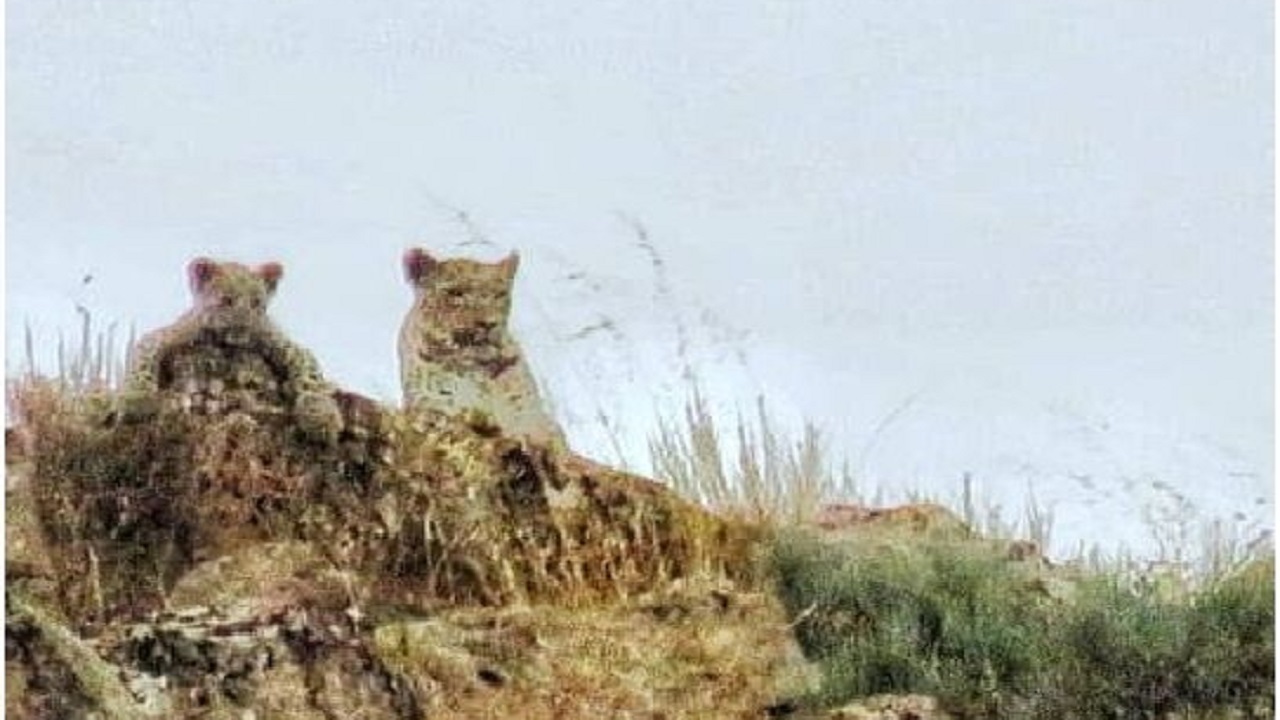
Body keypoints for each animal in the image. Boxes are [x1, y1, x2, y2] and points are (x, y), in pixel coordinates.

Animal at [122, 254, 343, 440]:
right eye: (227, 300)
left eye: (256, 303)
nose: (245, 324)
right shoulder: (159, 337)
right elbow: (142, 363)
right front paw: (135, 400)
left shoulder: (290, 347)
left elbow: (310, 377)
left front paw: (322, 417)